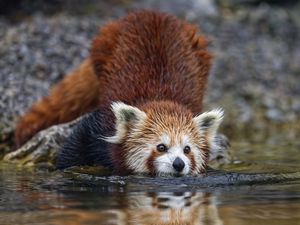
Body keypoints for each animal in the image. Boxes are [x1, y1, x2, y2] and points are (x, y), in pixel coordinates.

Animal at [15, 10, 224, 176]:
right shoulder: (103, 123)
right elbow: (76, 145)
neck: (161, 97)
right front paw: (62, 168)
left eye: (187, 149)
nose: (178, 164)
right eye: (161, 147)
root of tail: (152, 12)